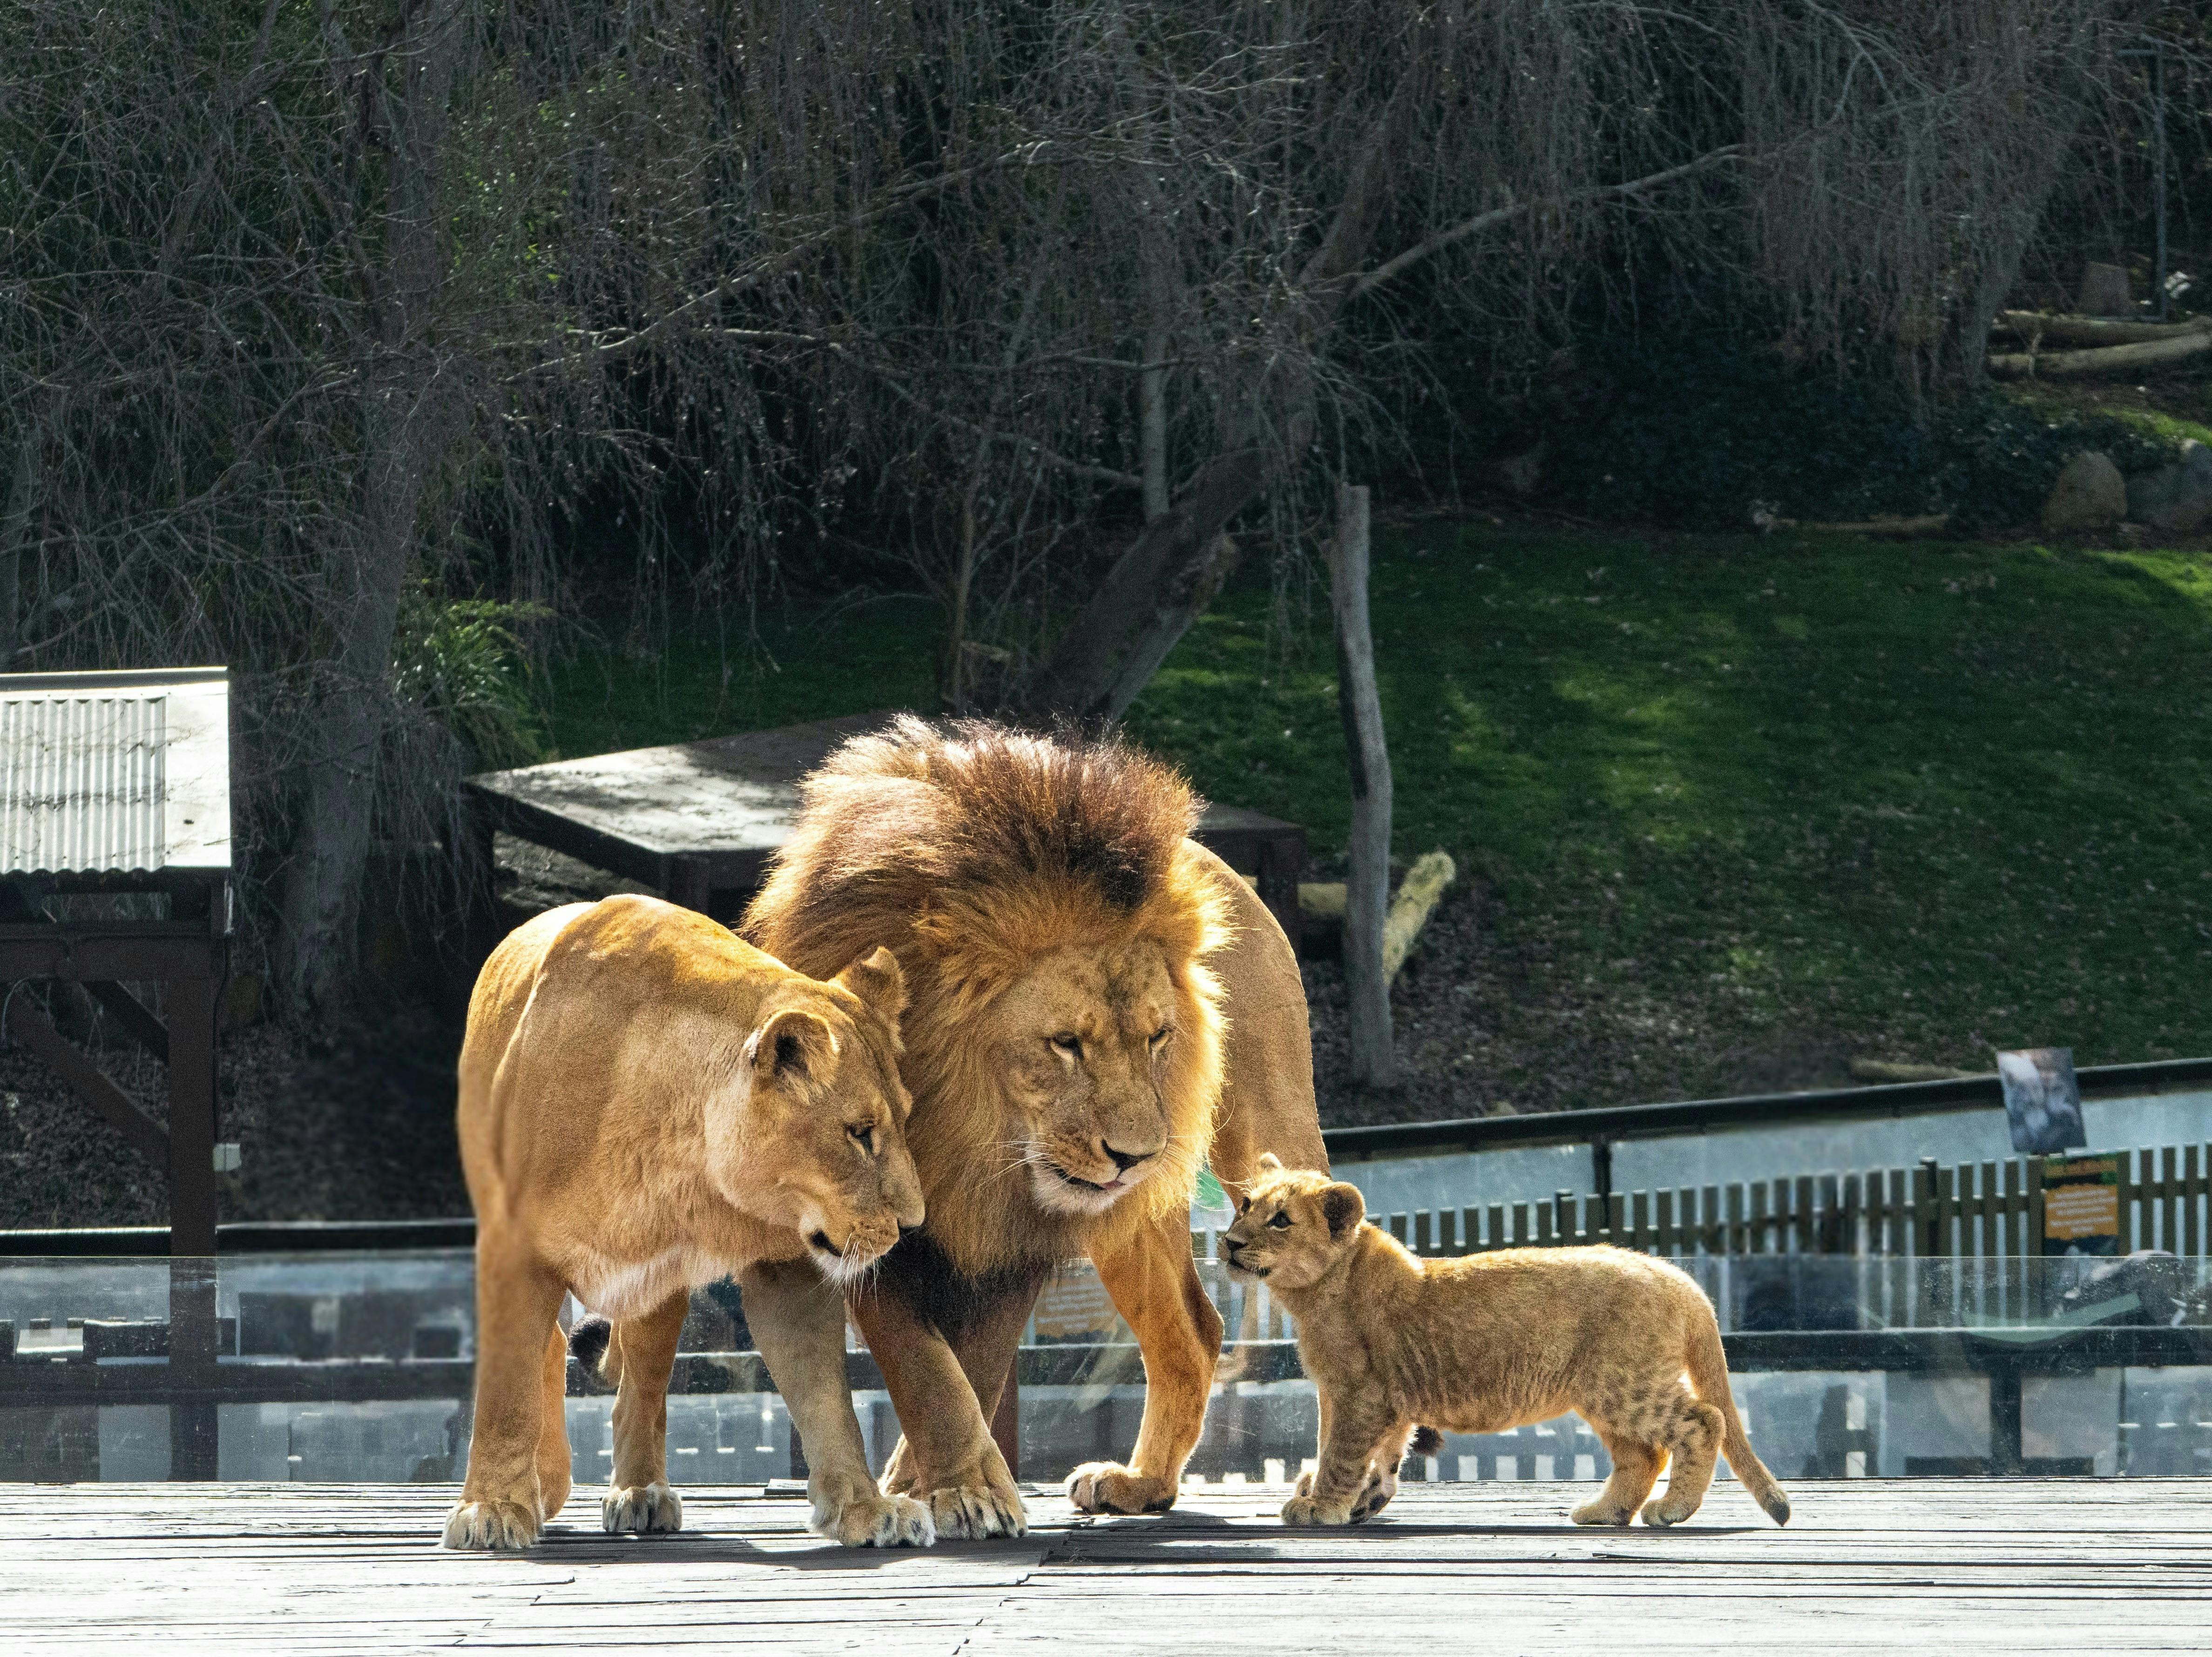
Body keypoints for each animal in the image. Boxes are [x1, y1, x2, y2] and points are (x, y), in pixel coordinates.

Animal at [443, 893, 934, 1552]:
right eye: (858, 1133)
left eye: (903, 1120)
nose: (912, 1224)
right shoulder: (513, 1247)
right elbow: (506, 1389)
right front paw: (493, 1507)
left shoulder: (786, 1266)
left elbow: (827, 1397)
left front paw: (864, 1506)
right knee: (547, 1350)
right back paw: (546, 1482)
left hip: (657, 1287)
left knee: (642, 1389)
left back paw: (641, 1492)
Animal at [743, 717, 1327, 1537]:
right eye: (1065, 1043)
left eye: (1157, 1037)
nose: (1138, 1155)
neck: (961, 1131)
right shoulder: (856, 1218)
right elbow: (924, 1363)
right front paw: (950, 1483)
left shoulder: (1017, 1226)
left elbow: (976, 1362)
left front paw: (957, 1486)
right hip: (1133, 1216)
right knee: (1192, 1328)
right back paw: (1144, 1483)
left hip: (1262, 1132)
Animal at [1223, 1156, 1792, 1529]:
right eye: (1245, 1205)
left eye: (1281, 1220)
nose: (1228, 1243)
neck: (1316, 1291)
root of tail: (1678, 1278)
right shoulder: (1381, 1396)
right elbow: (1379, 1455)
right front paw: (1365, 1500)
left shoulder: (1360, 1392)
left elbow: (1340, 1451)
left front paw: (1322, 1506)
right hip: (1604, 1391)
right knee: (1644, 1455)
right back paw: (1604, 1512)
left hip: (1626, 1384)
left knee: (1703, 1421)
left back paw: (1671, 1509)